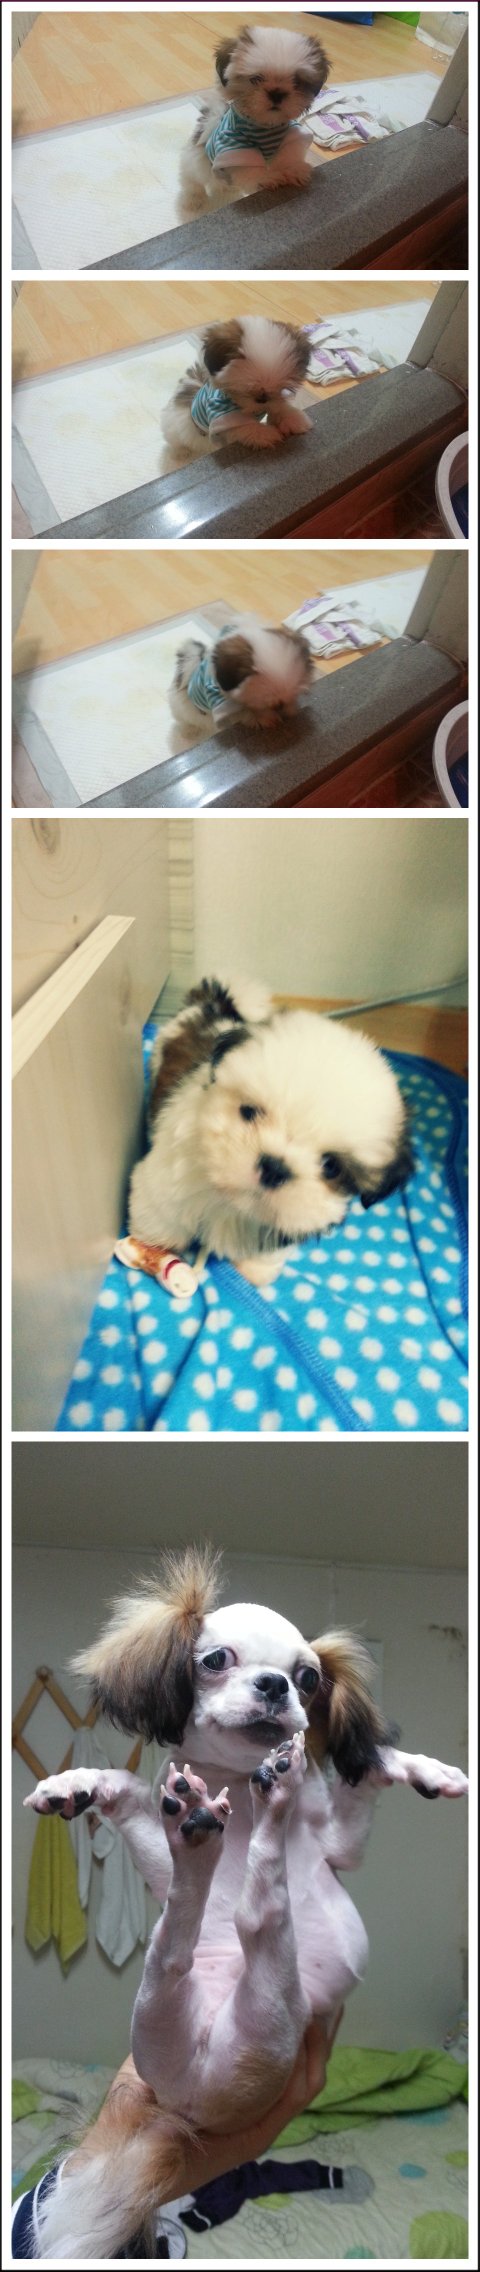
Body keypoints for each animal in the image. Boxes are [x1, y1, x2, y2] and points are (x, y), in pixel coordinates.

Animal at [25, 1546, 468, 2258]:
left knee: (223, 1924)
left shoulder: (339, 1846)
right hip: (240, 2014)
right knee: (231, 1918)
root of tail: (184, 2103)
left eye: (309, 1677)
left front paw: (430, 1770)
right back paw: (224, 1826)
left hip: (245, 2020)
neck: (233, 1781)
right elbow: (124, 1783)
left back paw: (250, 1808)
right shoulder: (157, 1831)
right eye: (215, 1659)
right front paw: (73, 1782)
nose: (275, 1686)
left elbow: (373, 1766)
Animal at [127, 977, 413, 1287]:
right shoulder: (169, 1176)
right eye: (249, 1112)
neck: (231, 1201)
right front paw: (155, 1244)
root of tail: (212, 1005)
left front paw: (255, 1269)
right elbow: (161, 1209)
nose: (275, 1168)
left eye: (331, 1166)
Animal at [161, 318, 313, 466]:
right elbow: (242, 427)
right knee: (177, 443)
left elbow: (279, 406)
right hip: (174, 430)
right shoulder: (220, 417)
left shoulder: (273, 401)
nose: (262, 399)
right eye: (245, 387)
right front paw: (266, 434)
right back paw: (180, 453)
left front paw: (294, 419)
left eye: (280, 387)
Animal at [169, 616, 315, 740]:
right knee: (186, 722)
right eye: (271, 703)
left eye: (293, 695)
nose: (282, 707)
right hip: (182, 711)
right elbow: (240, 713)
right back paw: (188, 732)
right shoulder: (217, 700)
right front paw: (263, 718)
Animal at [179, 24, 329, 216]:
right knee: (192, 181)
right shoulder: (234, 146)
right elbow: (249, 166)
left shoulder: (291, 136)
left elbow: (289, 154)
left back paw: (226, 189)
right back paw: (193, 200)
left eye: (297, 82)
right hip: (197, 161)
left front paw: (292, 170)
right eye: (256, 79)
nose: (276, 93)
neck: (265, 126)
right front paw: (266, 177)